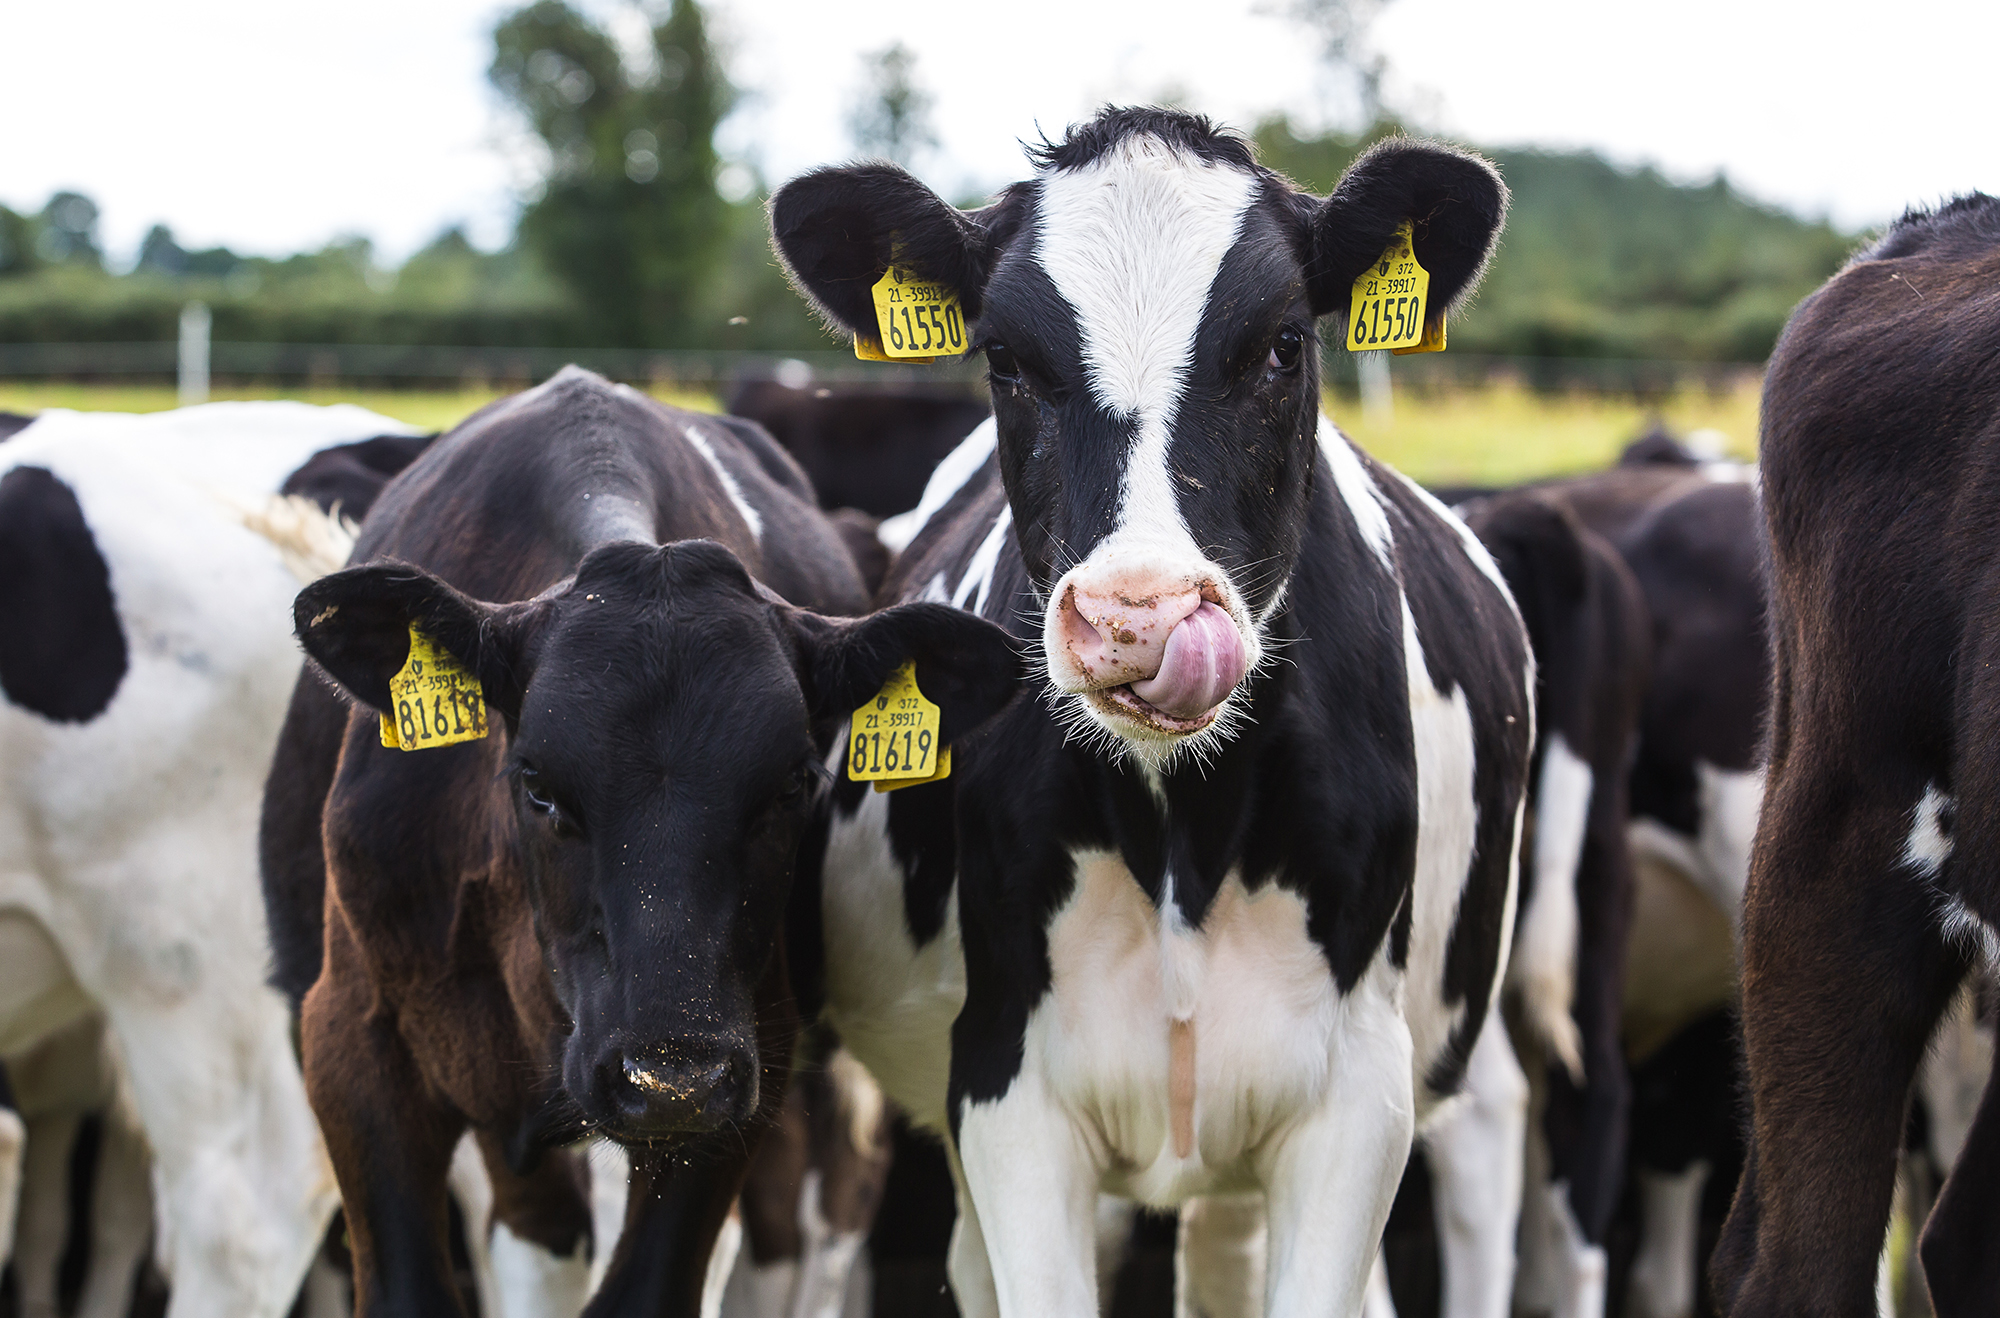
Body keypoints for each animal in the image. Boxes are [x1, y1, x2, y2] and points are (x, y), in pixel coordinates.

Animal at [770, 106, 1532, 1316]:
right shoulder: (1006, 1095)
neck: (1182, 827)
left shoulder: (1356, 1101)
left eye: (1281, 345)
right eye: (1006, 359)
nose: (1138, 617)